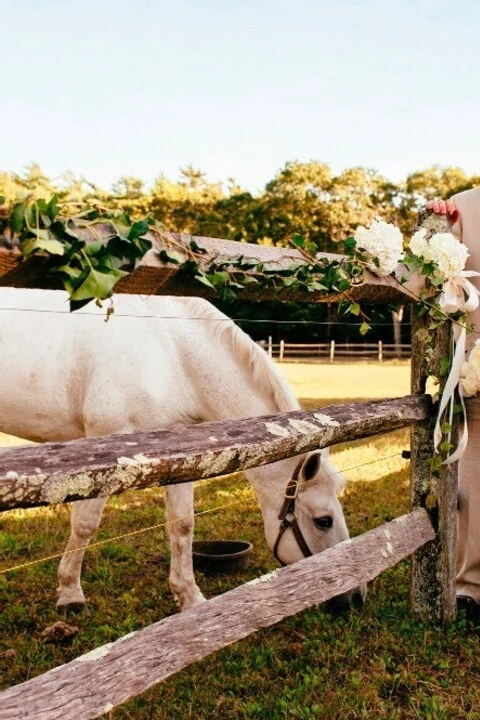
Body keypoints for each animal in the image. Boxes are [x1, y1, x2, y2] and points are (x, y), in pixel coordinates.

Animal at [0, 290, 364, 612]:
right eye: (323, 521)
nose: (355, 598)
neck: (172, 356)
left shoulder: (182, 457)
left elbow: (182, 524)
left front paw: (190, 598)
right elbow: (85, 524)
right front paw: (70, 593)